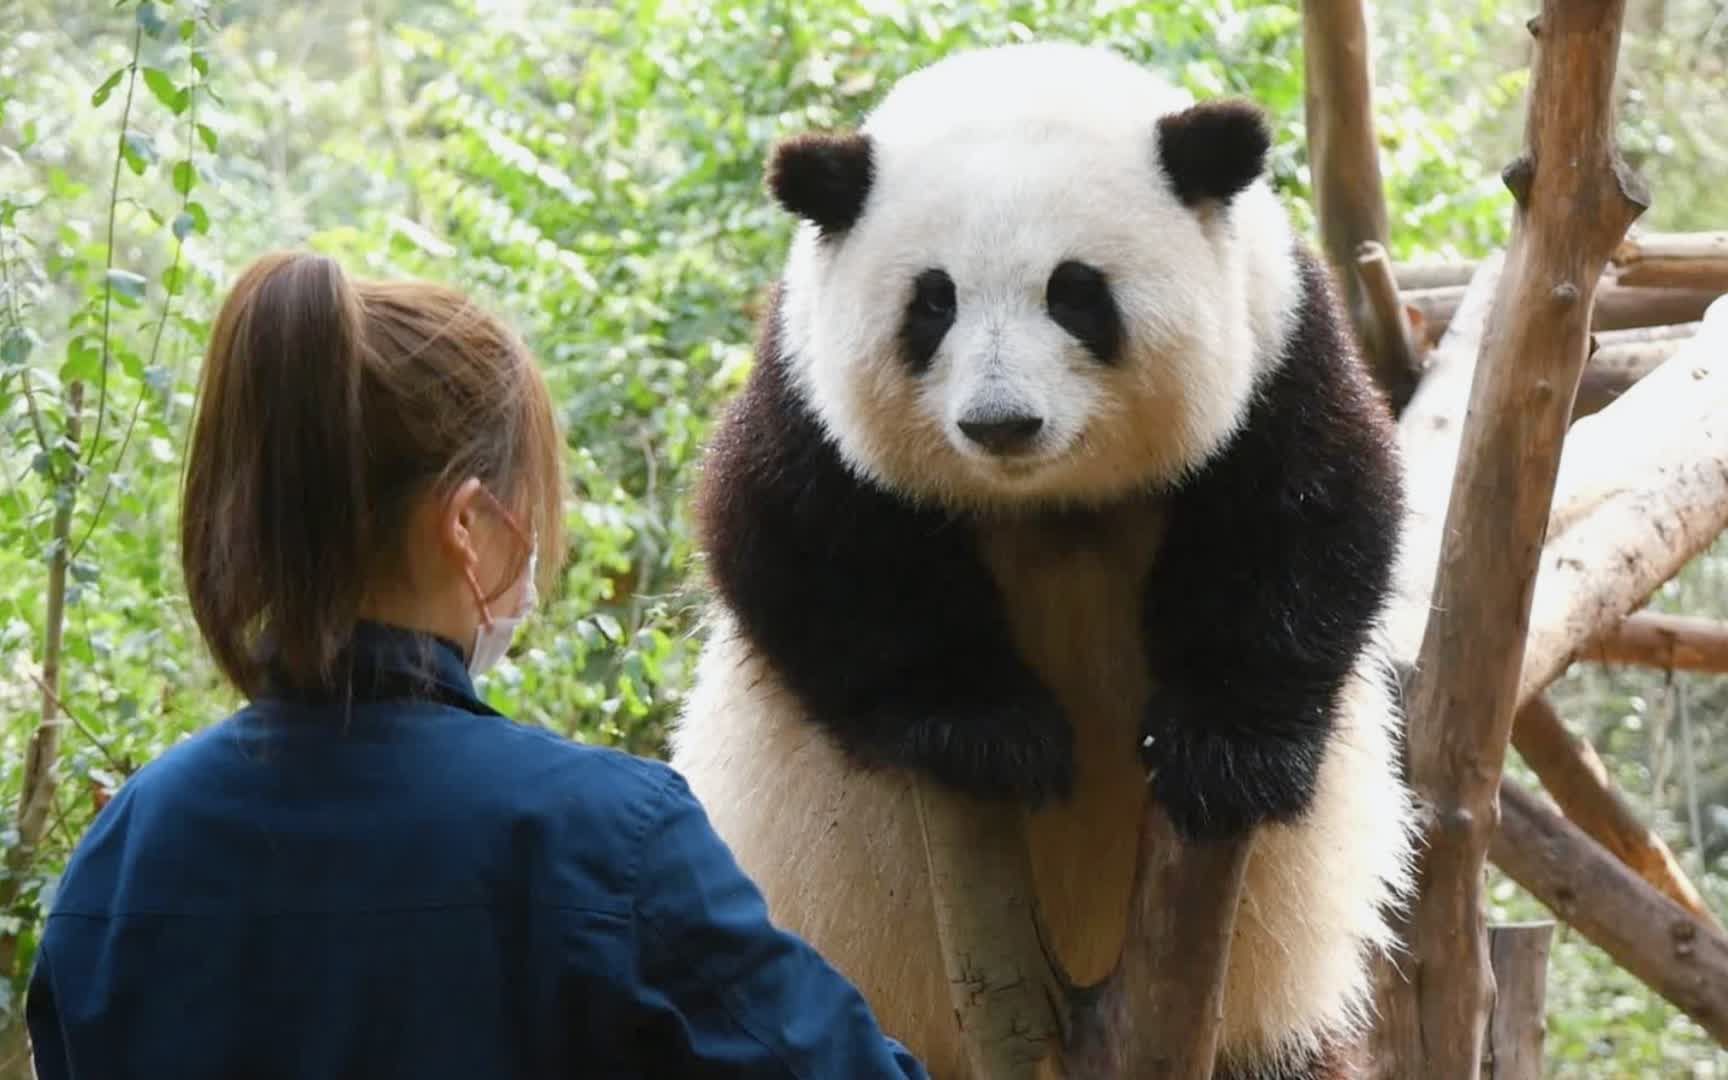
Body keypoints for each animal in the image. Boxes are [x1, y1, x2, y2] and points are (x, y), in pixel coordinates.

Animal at [667, 42, 1410, 1078]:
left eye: (1076, 292)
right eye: (932, 302)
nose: (1001, 422)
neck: (1049, 504)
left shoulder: (1278, 346)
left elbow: (1308, 525)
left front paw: (1223, 753)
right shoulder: (805, 393)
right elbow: (806, 551)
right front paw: (989, 731)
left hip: (1273, 996)